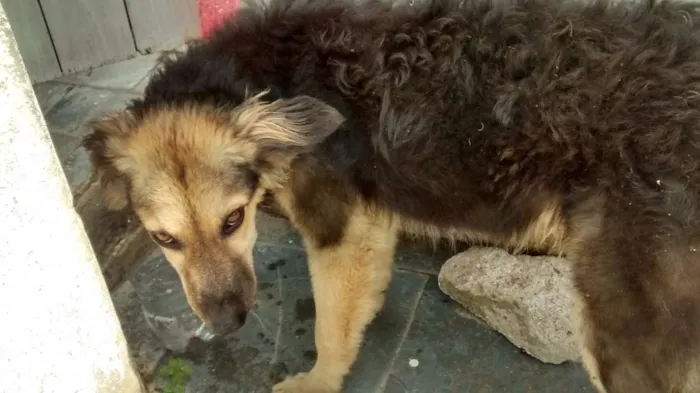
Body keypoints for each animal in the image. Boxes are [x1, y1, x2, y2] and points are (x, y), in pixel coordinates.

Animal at [85, 0, 700, 390]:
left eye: (233, 220)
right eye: (164, 239)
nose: (229, 323)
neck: (255, 78)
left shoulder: (342, 230)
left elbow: (331, 328)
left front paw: (318, 382)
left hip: (623, 327)